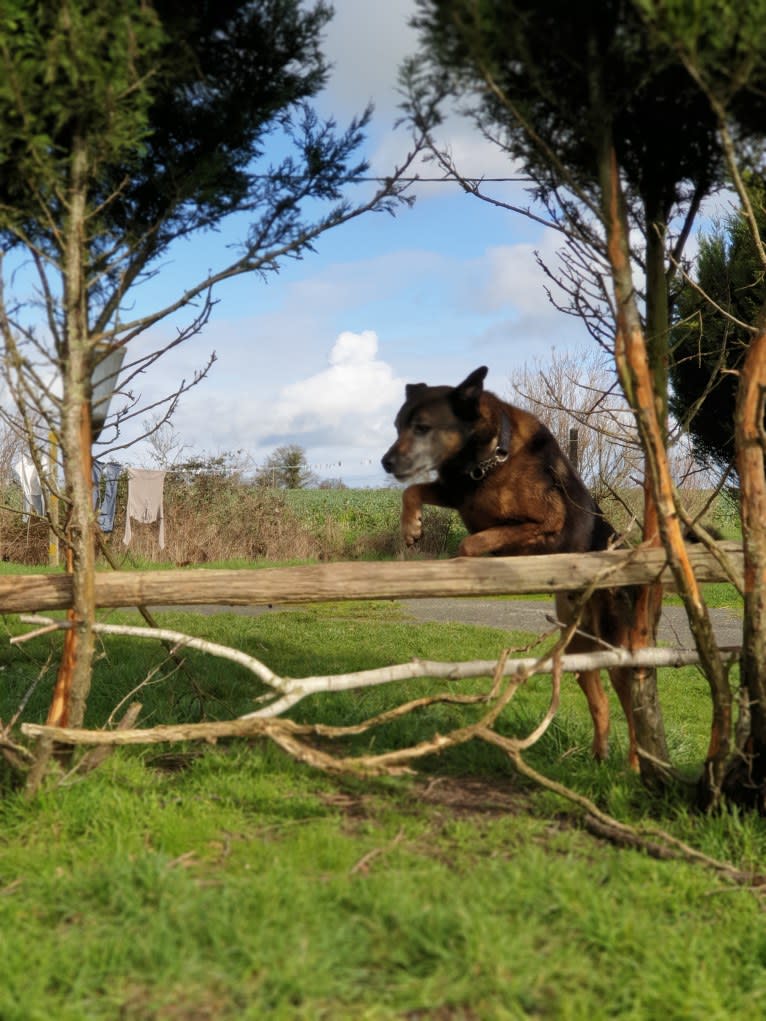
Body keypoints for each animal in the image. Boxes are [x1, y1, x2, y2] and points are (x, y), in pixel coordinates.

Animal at [381, 365, 637, 767]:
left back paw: (635, 764)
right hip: (577, 650)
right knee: (600, 700)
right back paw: (598, 756)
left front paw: (465, 558)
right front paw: (411, 527)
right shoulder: (459, 490)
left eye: (422, 427)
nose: (386, 463)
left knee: (633, 710)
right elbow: (414, 491)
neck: (487, 459)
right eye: (397, 426)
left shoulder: (544, 523)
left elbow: (472, 540)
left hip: (614, 648)